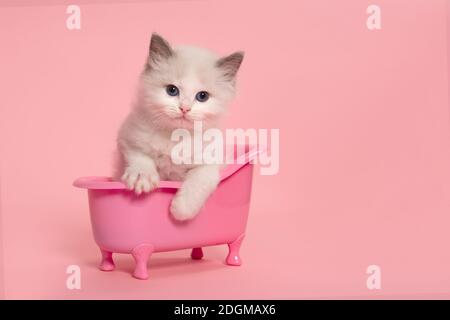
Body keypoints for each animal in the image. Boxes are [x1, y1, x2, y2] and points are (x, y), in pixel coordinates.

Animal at [116, 33, 243, 221]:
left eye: (202, 96)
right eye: (172, 90)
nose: (184, 108)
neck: (176, 137)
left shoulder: (212, 163)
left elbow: (198, 180)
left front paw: (181, 209)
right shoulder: (129, 137)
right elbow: (140, 157)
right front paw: (142, 177)